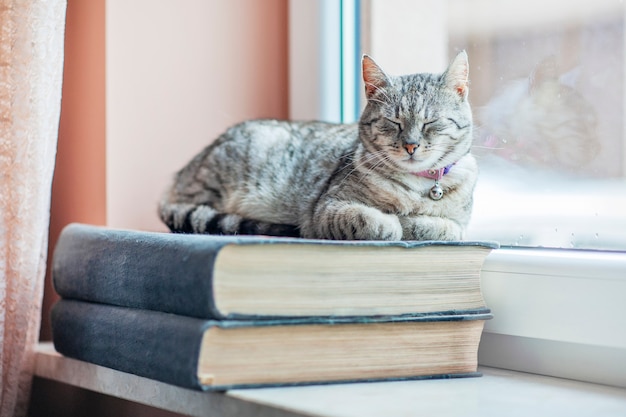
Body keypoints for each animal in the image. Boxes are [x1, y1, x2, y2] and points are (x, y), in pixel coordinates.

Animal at [158, 51, 476, 240]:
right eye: (393, 122)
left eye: (430, 122)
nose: (411, 145)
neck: (418, 188)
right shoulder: (327, 208)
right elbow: (365, 217)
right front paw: (391, 222)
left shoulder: (459, 224)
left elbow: (441, 227)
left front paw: (410, 221)